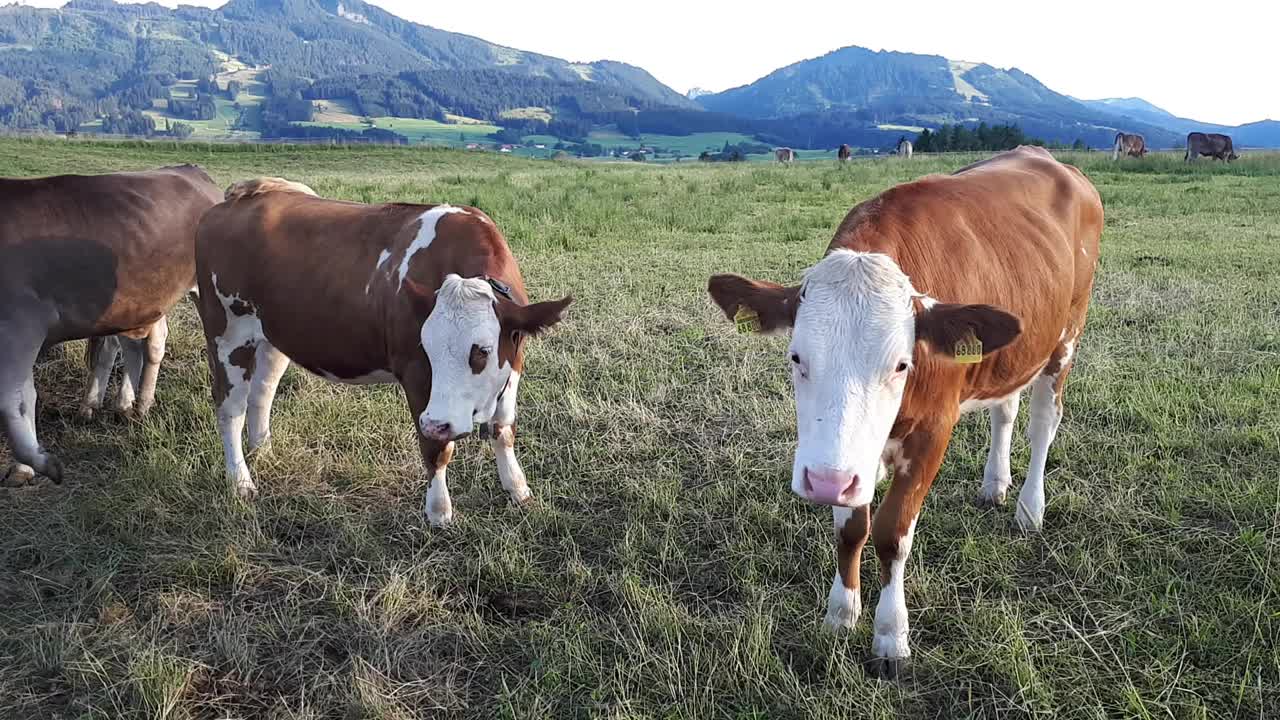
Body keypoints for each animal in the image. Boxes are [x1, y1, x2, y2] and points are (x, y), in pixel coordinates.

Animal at [0, 165, 220, 484]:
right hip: (140, 302)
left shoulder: (24, 325)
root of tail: (188, 169)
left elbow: (17, 401)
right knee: (137, 347)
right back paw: (121, 404)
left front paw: (33, 464)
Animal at [193, 175, 570, 520]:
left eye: (482, 350)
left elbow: (503, 429)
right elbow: (436, 449)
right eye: (426, 348)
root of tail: (234, 201)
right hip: (227, 334)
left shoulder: (514, 363)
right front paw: (438, 512)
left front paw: (517, 488)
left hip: (271, 338)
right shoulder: (416, 375)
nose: (437, 422)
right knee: (230, 408)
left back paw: (264, 453)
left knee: (262, 392)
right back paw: (240, 481)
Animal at [706, 147, 1105, 676]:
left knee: (1043, 423)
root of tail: (1049, 158)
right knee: (1005, 410)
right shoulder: (848, 456)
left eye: (901, 363)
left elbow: (892, 534)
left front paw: (891, 635)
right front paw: (841, 613)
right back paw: (994, 484)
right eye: (796, 357)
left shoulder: (932, 433)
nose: (824, 482)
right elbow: (851, 528)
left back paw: (1029, 507)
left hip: (1067, 336)